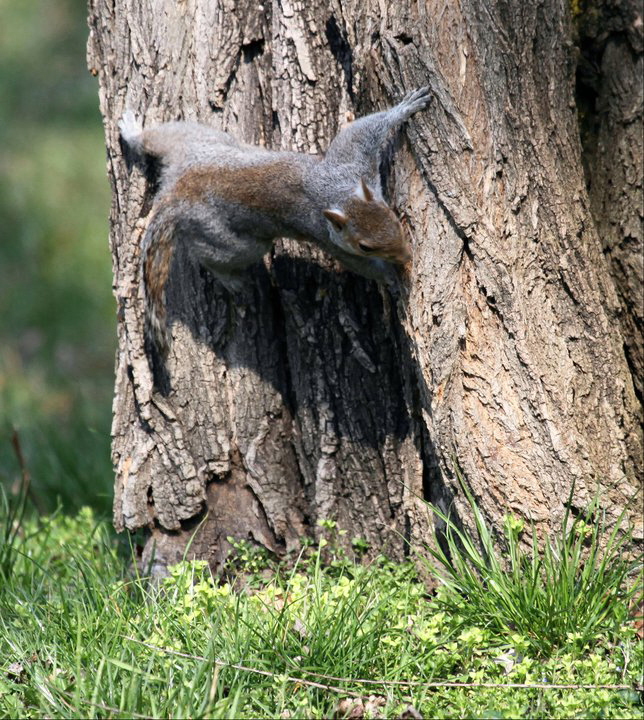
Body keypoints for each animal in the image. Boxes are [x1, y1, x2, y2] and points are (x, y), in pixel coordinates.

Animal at [119, 87, 432, 362]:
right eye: (365, 246)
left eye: (391, 216)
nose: (406, 256)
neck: (338, 196)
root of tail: (174, 191)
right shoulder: (331, 240)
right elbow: (362, 266)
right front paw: (391, 278)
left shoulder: (353, 164)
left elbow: (361, 131)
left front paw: (405, 107)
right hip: (231, 238)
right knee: (209, 255)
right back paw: (229, 278)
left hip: (194, 139)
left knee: (155, 138)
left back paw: (131, 129)